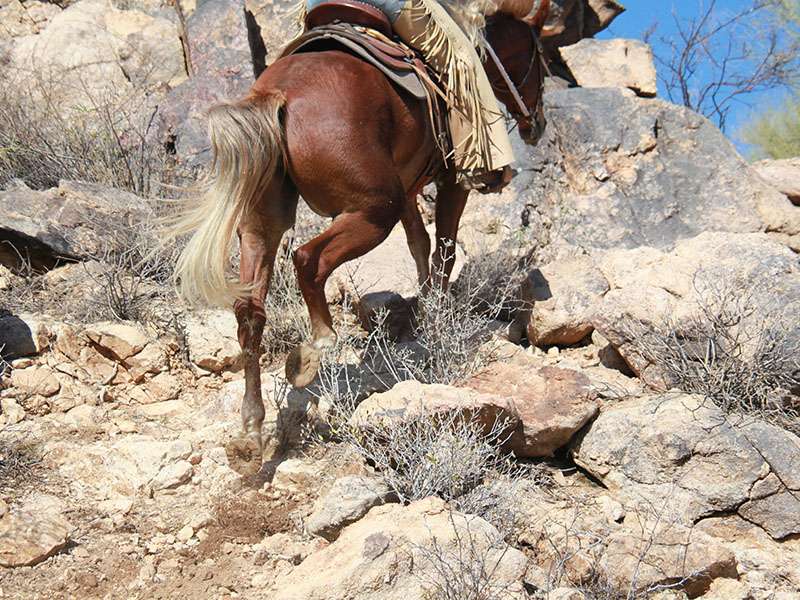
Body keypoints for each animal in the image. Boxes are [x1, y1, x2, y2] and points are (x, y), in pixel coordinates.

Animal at [170, 2, 552, 452]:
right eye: (540, 58)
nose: (537, 124)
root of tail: (276, 95)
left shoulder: (407, 188)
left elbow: (419, 243)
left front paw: (423, 304)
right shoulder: (449, 181)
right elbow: (443, 247)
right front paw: (438, 311)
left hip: (264, 222)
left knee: (250, 311)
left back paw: (251, 428)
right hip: (373, 211)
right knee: (308, 259)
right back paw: (317, 346)